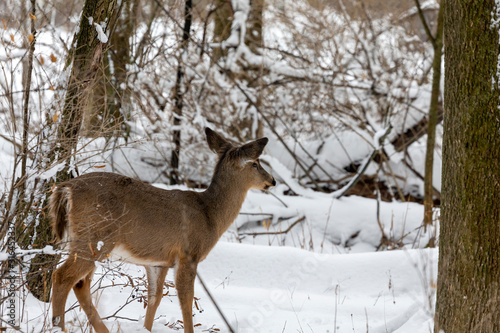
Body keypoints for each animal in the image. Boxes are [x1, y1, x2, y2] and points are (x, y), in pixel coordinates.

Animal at [48, 127, 276, 332]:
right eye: (255, 164)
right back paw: (59, 328)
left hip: (86, 241)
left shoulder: (159, 261)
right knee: (62, 277)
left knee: (80, 283)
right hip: (95, 237)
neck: (209, 214)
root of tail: (65, 189)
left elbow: (154, 299)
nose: (272, 181)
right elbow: (186, 302)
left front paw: (146, 328)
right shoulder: (188, 255)